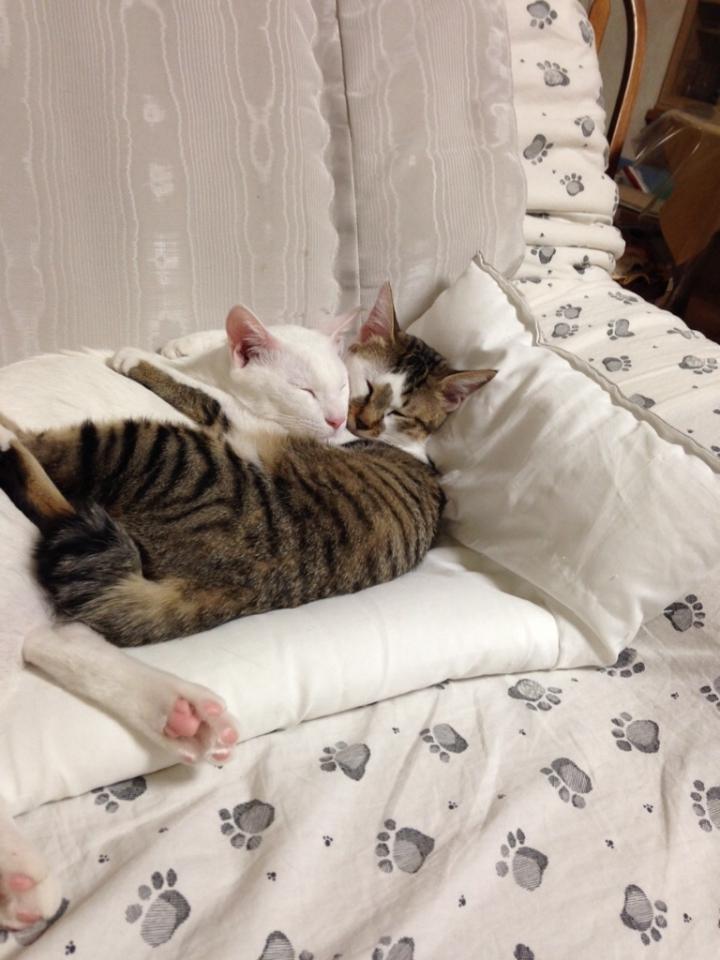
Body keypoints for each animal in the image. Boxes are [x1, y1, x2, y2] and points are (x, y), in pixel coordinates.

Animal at [0, 284, 495, 648]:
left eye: (400, 414)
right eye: (359, 386)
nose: (345, 420)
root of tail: (241, 589)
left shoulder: (239, 417)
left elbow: (197, 390)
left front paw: (144, 358)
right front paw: (184, 343)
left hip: (166, 450)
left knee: (56, 465)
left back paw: (11, 434)